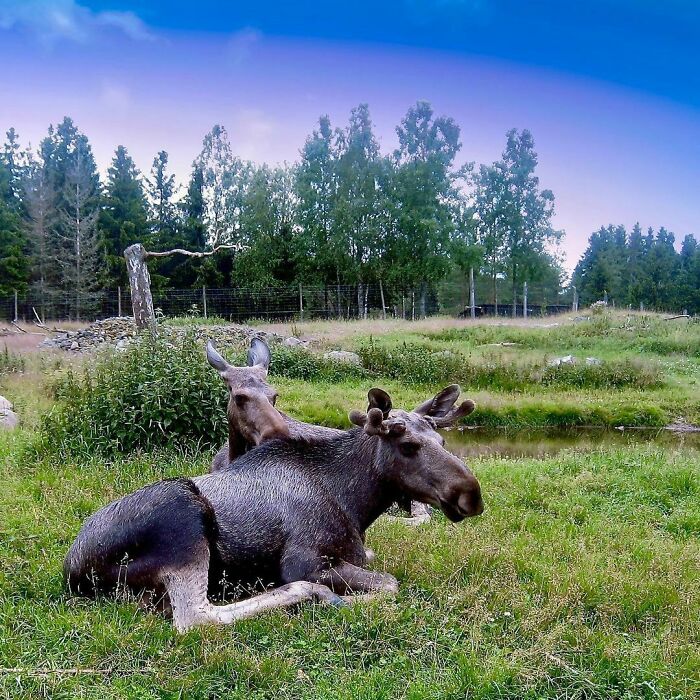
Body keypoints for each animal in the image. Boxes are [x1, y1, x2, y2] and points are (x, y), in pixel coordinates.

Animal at [64, 387, 482, 632]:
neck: (355, 502)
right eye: (409, 446)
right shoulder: (304, 560)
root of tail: (71, 570)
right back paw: (313, 595)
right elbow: (390, 584)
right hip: (183, 516)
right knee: (195, 618)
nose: (471, 495)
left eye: (443, 441)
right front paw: (338, 597)